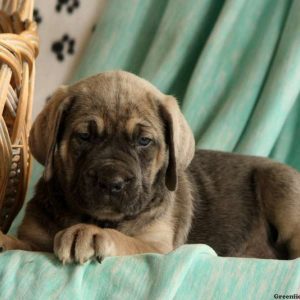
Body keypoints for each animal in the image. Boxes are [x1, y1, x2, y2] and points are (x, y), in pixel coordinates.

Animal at [0, 71, 300, 262]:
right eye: (84, 136)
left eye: (144, 141)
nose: (111, 181)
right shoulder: (35, 239)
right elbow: (23, 244)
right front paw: (4, 240)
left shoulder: (157, 247)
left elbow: (124, 239)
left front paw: (90, 233)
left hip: (278, 184)